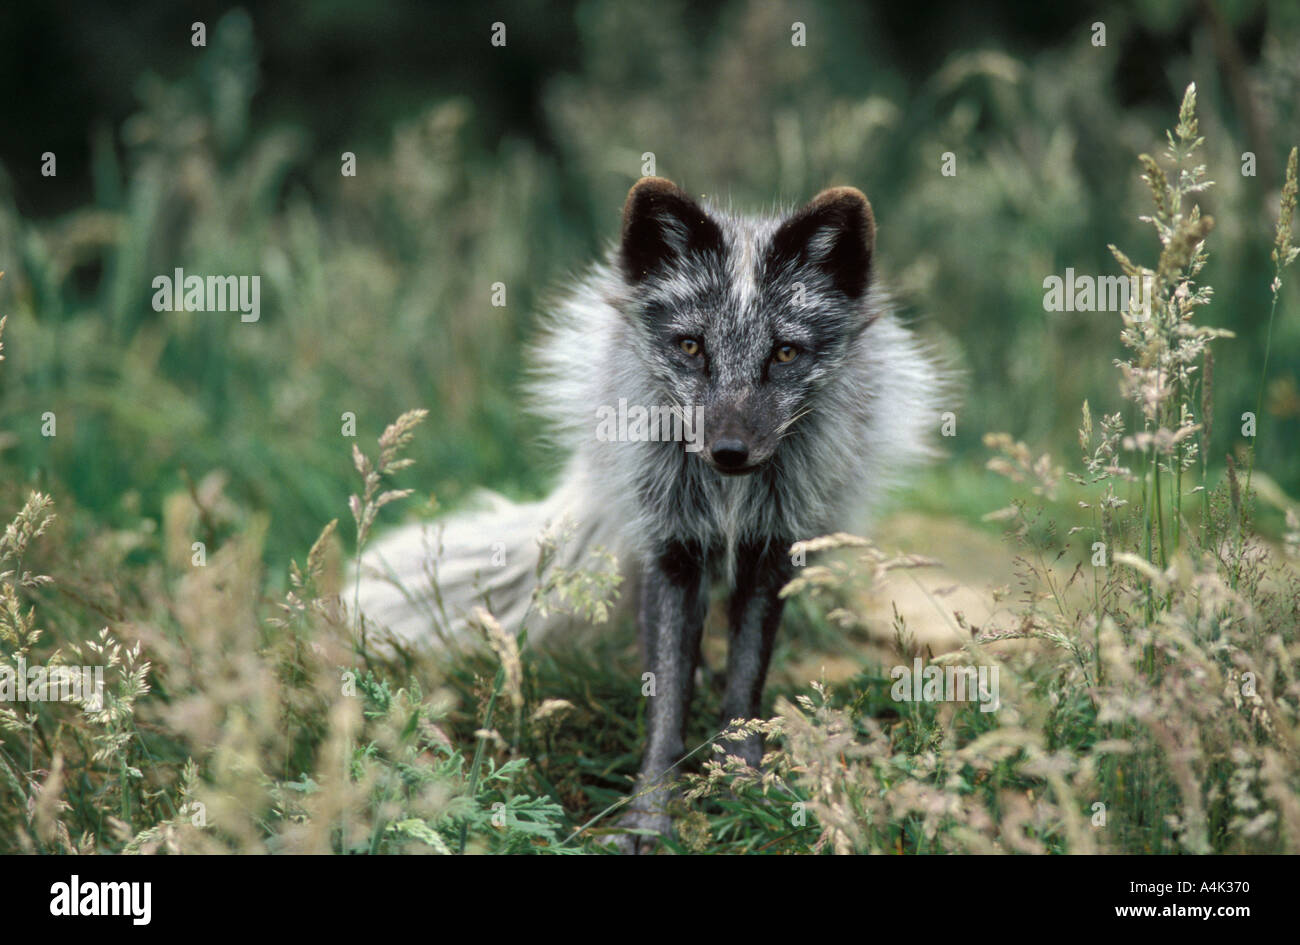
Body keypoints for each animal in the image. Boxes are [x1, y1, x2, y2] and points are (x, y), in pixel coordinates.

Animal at [356, 175, 946, 852]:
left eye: (785, 354)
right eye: (690, 346)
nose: (729, 452)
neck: (728, 499)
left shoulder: (773, 549)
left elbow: (746, 687)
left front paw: (741, 790)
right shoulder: (672, 548)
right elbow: (665, 700)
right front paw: (649, 815)